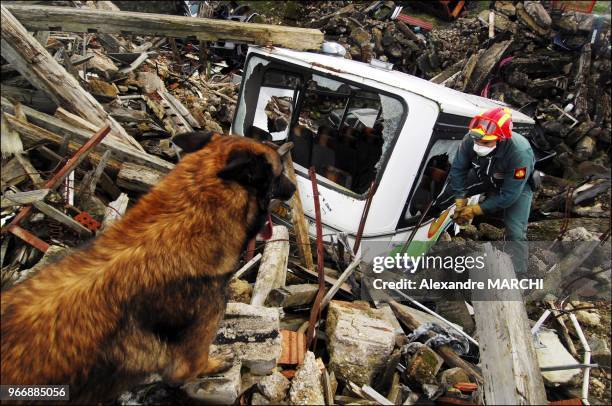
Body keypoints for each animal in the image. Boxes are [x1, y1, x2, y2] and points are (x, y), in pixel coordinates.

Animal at [0, 132, 296, 402]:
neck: (184, 223)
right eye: (280, 173)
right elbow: (190, 368)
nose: (294, 188)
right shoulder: (196, 340)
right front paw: (215, 363)